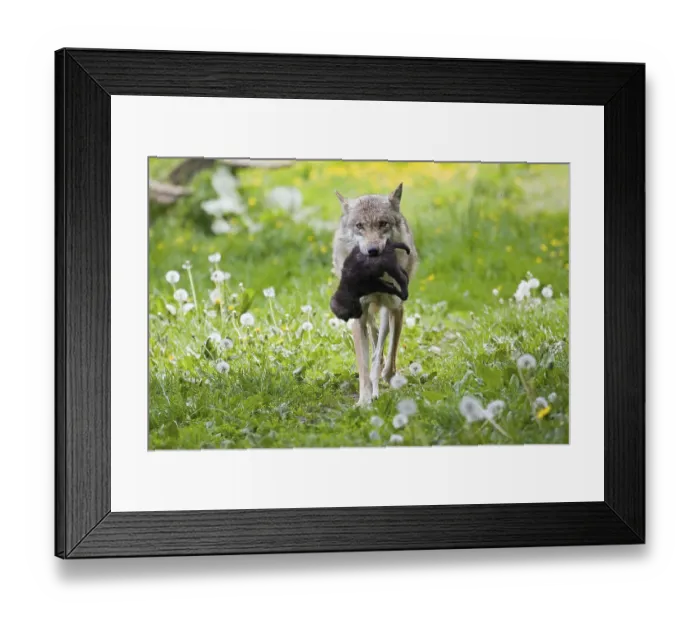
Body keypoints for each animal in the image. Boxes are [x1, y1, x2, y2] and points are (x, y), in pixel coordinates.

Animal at [332, 183, 418, 405]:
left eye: (383, 224)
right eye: (359, 226)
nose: (372, 251)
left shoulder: (396, 308)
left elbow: (389, 350)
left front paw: (387, 377)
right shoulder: (358, 317)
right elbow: (363, 365)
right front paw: (364, 400)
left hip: (386, 311)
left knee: (381, 342)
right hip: (368, 313)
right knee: (374, 334)